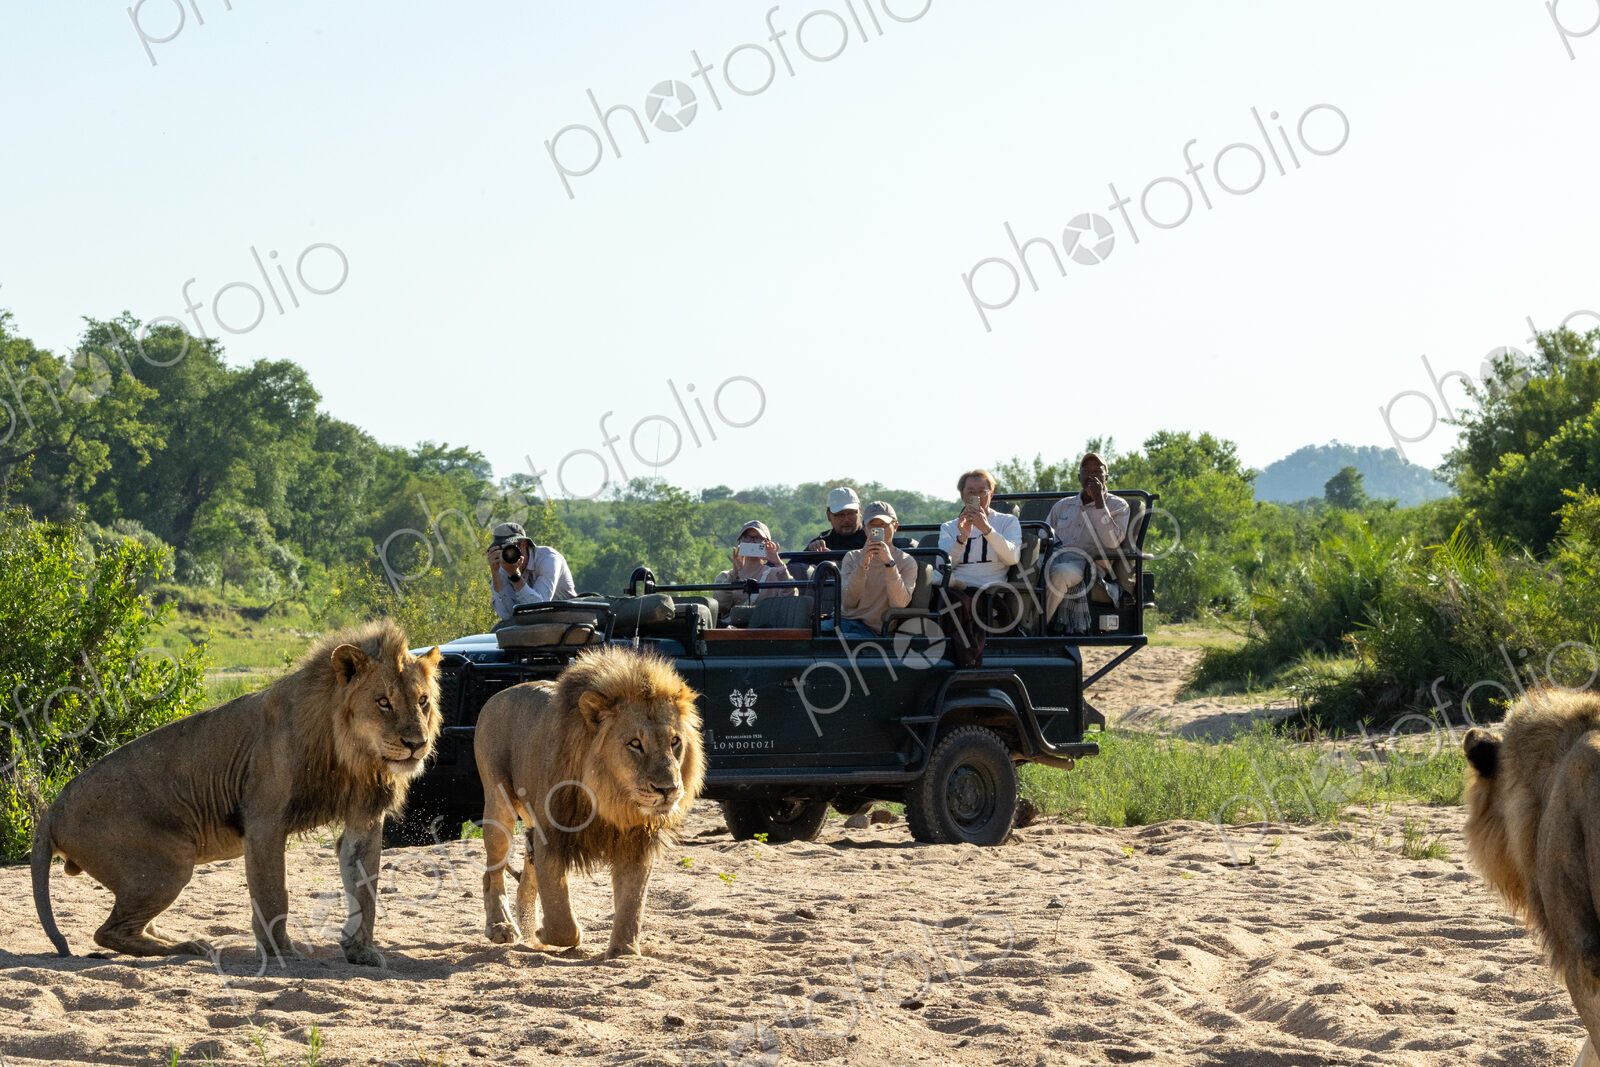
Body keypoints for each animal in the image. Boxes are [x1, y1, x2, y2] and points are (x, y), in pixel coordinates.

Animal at [30, 619, 442, 967]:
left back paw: (175, 939)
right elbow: (273, 892)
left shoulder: (364, 817)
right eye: (383, 702)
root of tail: (52, 808)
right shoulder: (263, 821)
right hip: (171, 861)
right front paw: (280, 953)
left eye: (422, 701)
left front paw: (361, 951)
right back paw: (189, 946)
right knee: (107, 933)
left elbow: (365, 888)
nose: (416, 744)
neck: (351, 754)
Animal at [474, 644, 704, 959]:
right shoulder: (552, 835)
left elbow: (633, 901)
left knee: (526, 876)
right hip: (499, 806)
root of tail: (498, 694)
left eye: (675, 742)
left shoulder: (637, 840)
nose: (668, 789)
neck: (611, 800)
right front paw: (546, 932)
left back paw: (526, 926)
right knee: (492, 872)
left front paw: (624, 951)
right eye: (635, 744)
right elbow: (561, 914)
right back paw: (502, 927)